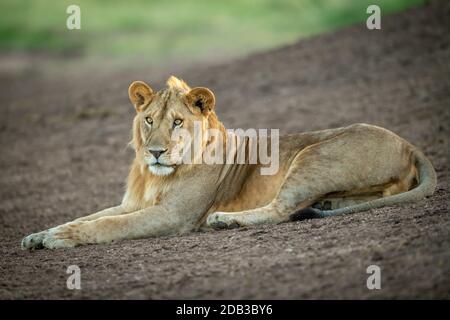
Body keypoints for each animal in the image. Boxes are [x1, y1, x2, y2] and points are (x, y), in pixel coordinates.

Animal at [21, 75, 436, 250]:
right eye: (149, 120)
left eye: (177, 122)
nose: (155, 152)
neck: (155, 177)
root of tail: (408, 143)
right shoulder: (132, 203)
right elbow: (88, 216)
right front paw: (39, 235)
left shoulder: (173, 215)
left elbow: (109, 225)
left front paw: (60, 239)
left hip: (312, 154)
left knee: (281, 210)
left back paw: (225, 220)